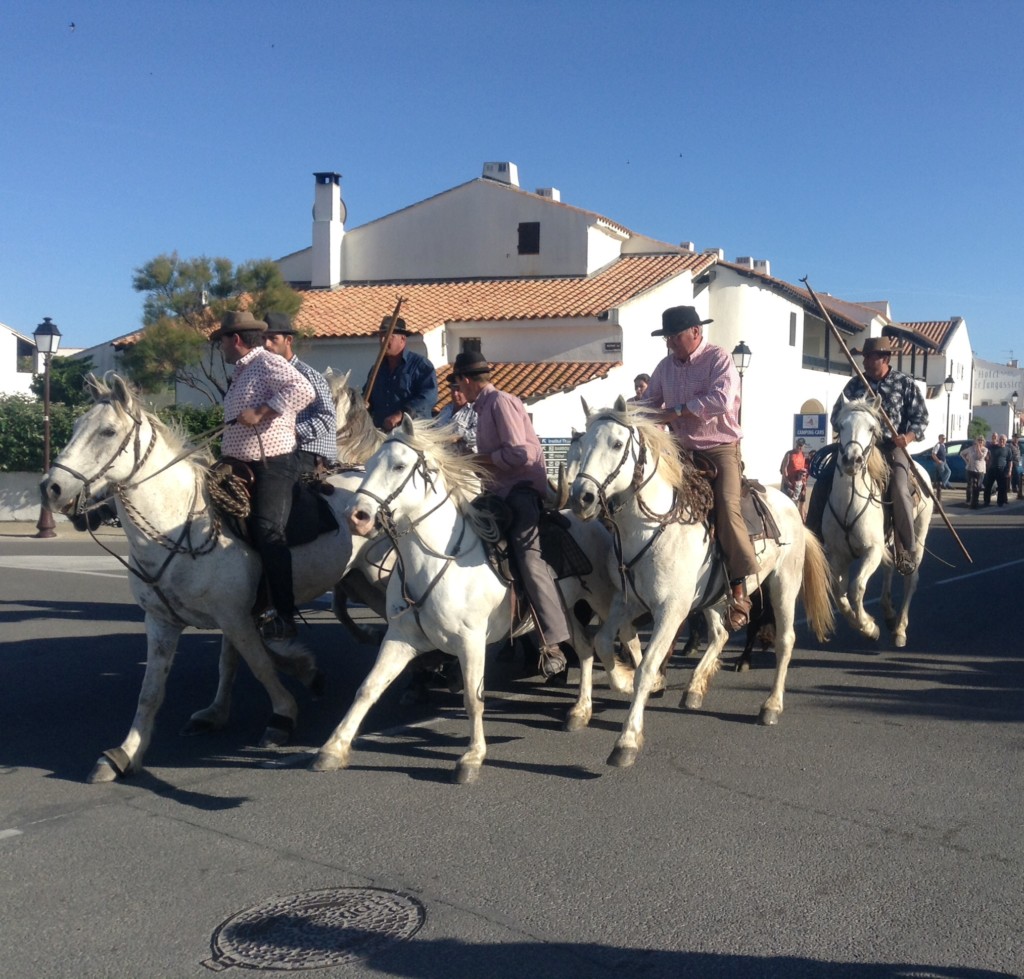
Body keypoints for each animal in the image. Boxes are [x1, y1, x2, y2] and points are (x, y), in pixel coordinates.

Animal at [41, 370, 374, 782]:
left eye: (106, 431)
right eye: (74, 427)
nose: (51, 488)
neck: (179, 525)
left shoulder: (235, 617)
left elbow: (258, 664)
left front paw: (283, 714)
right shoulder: (163, 622)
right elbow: (153, 690)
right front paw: (125, 753)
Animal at [315, 417, 643, 782]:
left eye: (398, 466)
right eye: (369, 465)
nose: (356, 517)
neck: (436, 562)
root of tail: (590, 520)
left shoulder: (470, 642)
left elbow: (474, 699)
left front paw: (471, 757)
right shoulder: (399, 638)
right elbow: (368, 688)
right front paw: (333, 748)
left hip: (605, 599)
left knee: (624, 638)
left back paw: (641, 684)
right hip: (564, 612)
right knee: (585, 648)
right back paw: (580, 711)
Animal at [569, 393, 831, 770]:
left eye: (617, 444)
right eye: (581, 444)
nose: (582, 498)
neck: (652, 527)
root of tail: (792, 506)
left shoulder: (671, 611)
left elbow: (648, 664)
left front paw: (627, 739)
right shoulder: (627, 602)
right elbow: (603, 642)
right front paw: (621, 680)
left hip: (784, 584)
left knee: (785, 641)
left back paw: (771, 705)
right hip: (714, 597)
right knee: (720, 633)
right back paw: (694, 688)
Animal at [819, 393, 933, 647]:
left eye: (871, 427)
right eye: (841, 425)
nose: (852, 460)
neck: (850, 502)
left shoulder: (871, 549)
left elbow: (856, 588)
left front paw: (869, 628)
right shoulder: (838, 554)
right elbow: (839, 592)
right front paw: (861, 622)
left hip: (918, 536)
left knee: (912, 579)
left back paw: (900, 628)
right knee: (890, 568)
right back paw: (888, 611)